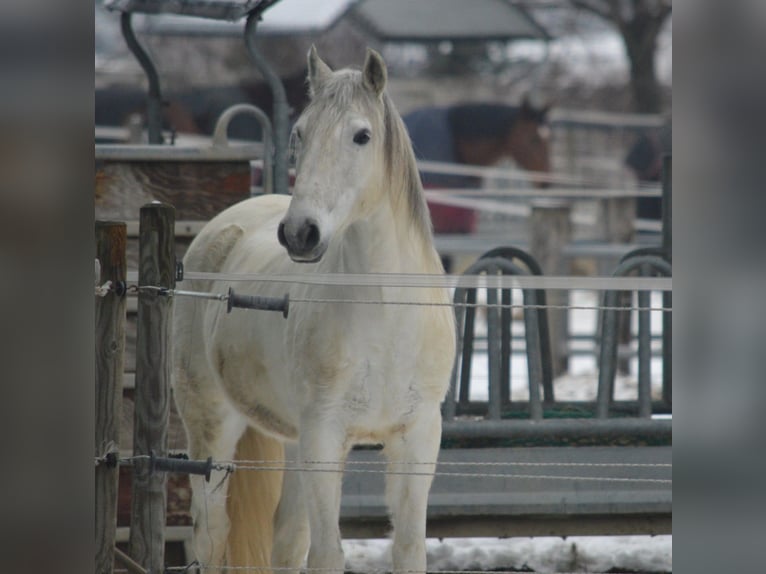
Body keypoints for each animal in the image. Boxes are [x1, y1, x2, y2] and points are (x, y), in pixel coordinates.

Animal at [176, 47, 456, 572]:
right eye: (300, 132)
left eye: (362, 135)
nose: (299, 233)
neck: (388, 314)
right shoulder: (324, 438)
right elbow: (327, 553)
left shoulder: (417, 438)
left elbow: (408, 548)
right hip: (212, 426)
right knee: (211, 535)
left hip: (291, 439)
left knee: (284, 540)